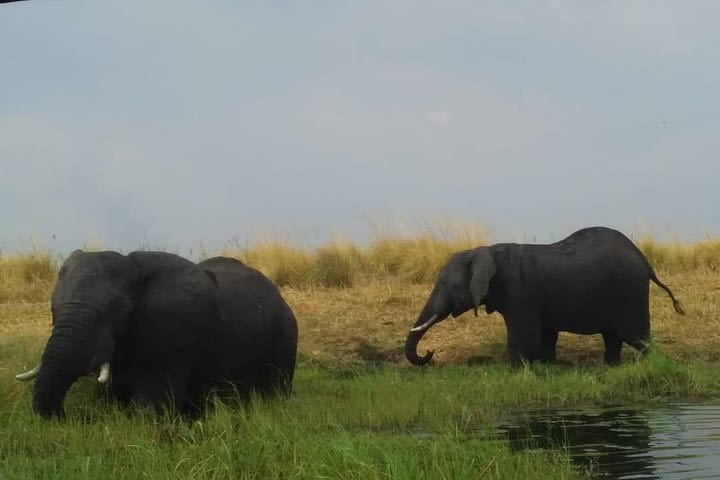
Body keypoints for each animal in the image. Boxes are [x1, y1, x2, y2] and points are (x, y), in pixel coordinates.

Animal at [16, 249, 298, 418]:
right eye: (53, 309)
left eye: (118, 310)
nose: (67, 417)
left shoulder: (172, 329)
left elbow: (151, 411)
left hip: (285, 339)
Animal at [404, 227, 688, 366]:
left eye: (448, 286)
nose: (429, 353)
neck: (486, 251)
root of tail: (646, 262)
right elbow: (546, 335)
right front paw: (547, 366)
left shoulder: (519, 293)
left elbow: (524, 335)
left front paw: (516, 370)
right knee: (613, 338)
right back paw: (612, 367)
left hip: (630, 293)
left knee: (636, 338)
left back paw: (653, 362)